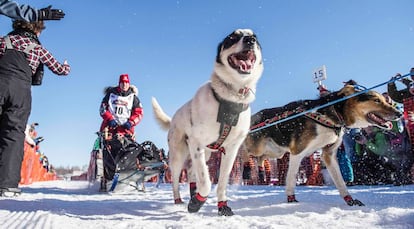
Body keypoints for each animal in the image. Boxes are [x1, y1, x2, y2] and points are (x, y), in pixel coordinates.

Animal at [151, 27, 262, 216]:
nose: (250, 40)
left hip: (206, 153)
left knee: (191, 172)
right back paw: (179, 199)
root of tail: (173, 118)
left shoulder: (231, 150)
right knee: (177, 178)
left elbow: (221, 182)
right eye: (232, 37)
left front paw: (222, 205)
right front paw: (197, 202)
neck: (231, 97)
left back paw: (192, 192)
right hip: (179, 155)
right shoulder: (196, 143)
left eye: (255, 37)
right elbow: (206, 181)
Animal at [239, 84, 402, 206]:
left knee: (261, 158)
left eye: (385, 100)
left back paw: (260, 172)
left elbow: (340, 181)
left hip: (277, 152)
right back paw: (247, 169)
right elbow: (291, 178)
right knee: (244, 150)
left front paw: (349, 200)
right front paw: (291, 198)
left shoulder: (329, 154)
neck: (331, 115)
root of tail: (254, 116)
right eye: (376, 100)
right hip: (258, 146)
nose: (399, 113)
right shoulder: (297, 152)